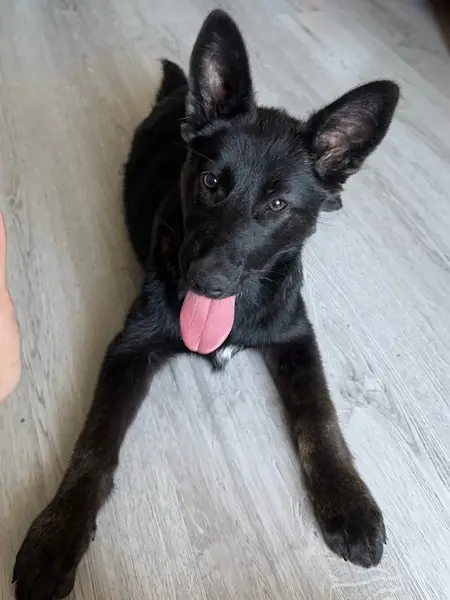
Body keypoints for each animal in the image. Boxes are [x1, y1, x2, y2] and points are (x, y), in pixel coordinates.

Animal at [13, 10, 399, 599]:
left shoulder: (296, 337)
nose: (206, 281)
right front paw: (56, 535)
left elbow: (321, 418)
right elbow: (93, 447)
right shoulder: (130, 347)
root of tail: (181, 95)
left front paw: (349, 502)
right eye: (211, 182)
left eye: (278, 204)